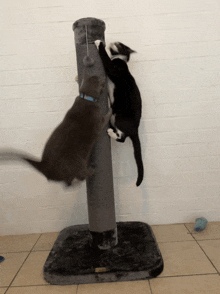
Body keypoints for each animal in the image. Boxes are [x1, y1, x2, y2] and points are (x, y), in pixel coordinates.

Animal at [95, 40, 144, 186]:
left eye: (119, 44)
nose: (112, 42)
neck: (119, 59)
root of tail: (135, 129)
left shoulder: (114, 69)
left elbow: (105, 59)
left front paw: (99, 43)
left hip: (119, 117)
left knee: (122, 138)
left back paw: (111, 132)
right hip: (114, 116)